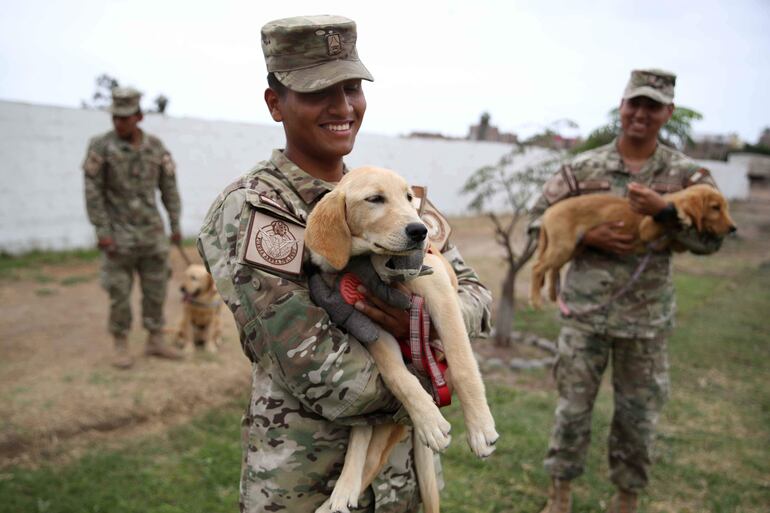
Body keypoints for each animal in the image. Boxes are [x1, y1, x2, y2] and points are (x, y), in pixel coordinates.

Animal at [304, 165, 496, 512]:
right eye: (375, 199)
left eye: (409, 197)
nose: (420, 231)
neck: (372, 263)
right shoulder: (371, 325)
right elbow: (398, 377)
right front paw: (429, 421)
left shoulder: (440, 294)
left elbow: (463, 365)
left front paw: (480, 428)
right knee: (363, 438)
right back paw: (339, 496)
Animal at [528, 183, 732, 308]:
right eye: (715, 208)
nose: (734, 228)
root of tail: (548, 212)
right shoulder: (646, 229)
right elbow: (675, 209)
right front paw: (682, 213)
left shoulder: (675, 242)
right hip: (563, 247)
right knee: (537, 267)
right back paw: (536, 300)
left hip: (571, 247)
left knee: (553, 268)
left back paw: (552, 293)